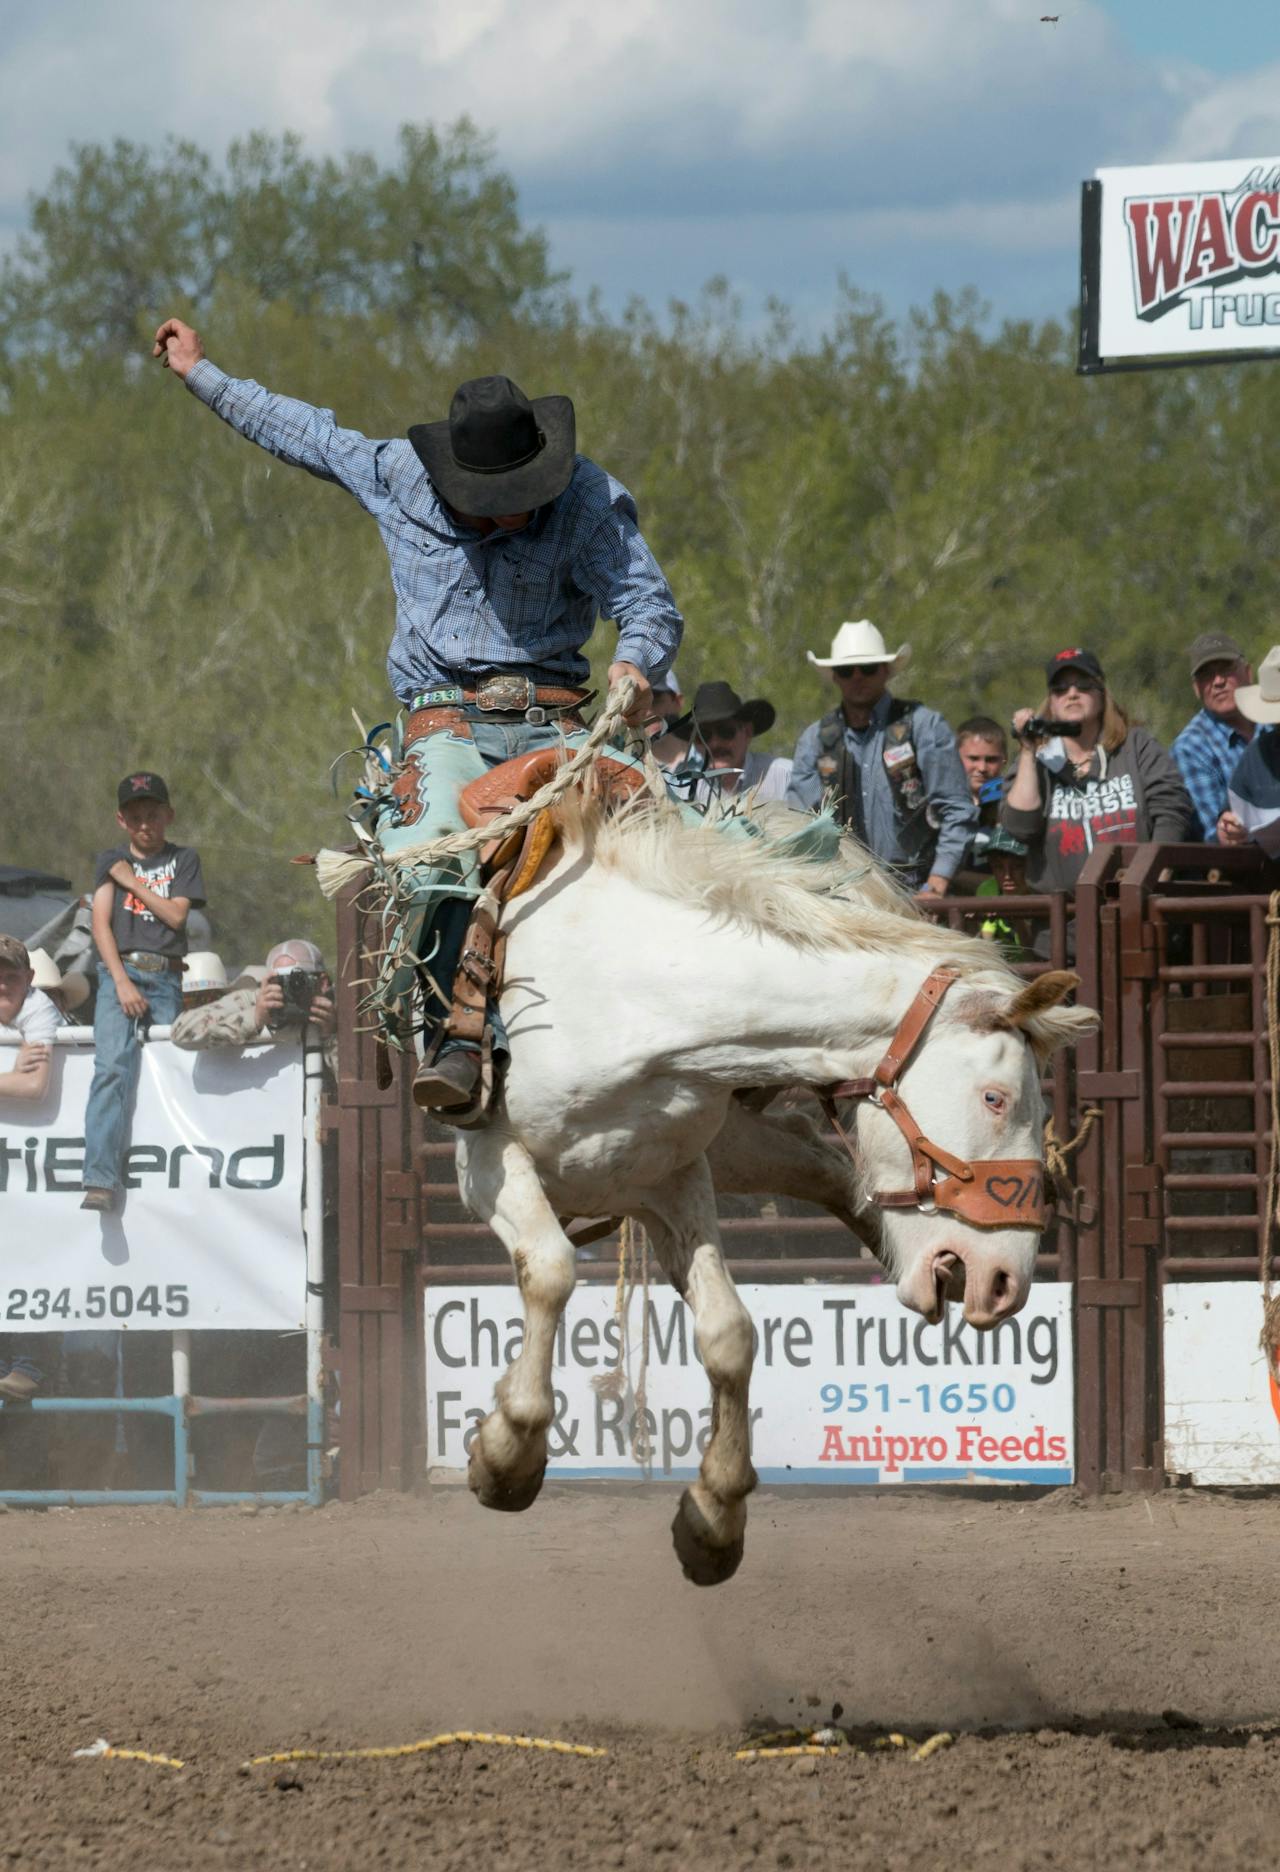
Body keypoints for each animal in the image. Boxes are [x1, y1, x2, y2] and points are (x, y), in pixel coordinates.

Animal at [449, 797, 1092, 1587]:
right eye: (997, 1098)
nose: (1005, 1282)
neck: (630, 992)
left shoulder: (671, 1173)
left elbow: (728, 1332)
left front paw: (715, 1516)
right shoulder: (487, 1157)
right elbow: (549, 1271)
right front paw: (505, 1454)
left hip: (731, 1146)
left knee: (822, 1165)